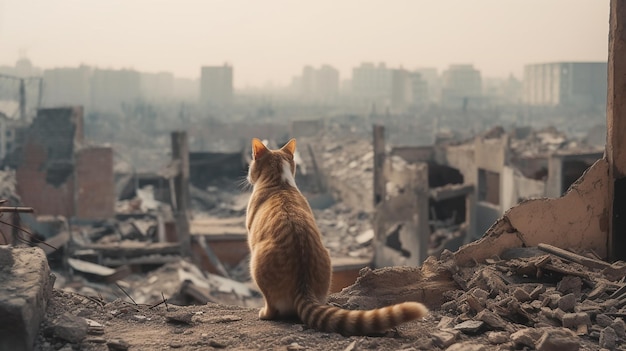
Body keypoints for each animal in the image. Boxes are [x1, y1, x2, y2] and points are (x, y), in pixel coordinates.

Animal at [243, 137, 424, 336]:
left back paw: (265, 313)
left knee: (273, 307)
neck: (280, 183)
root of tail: (304, 286)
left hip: (255, 265)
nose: (248, 176)